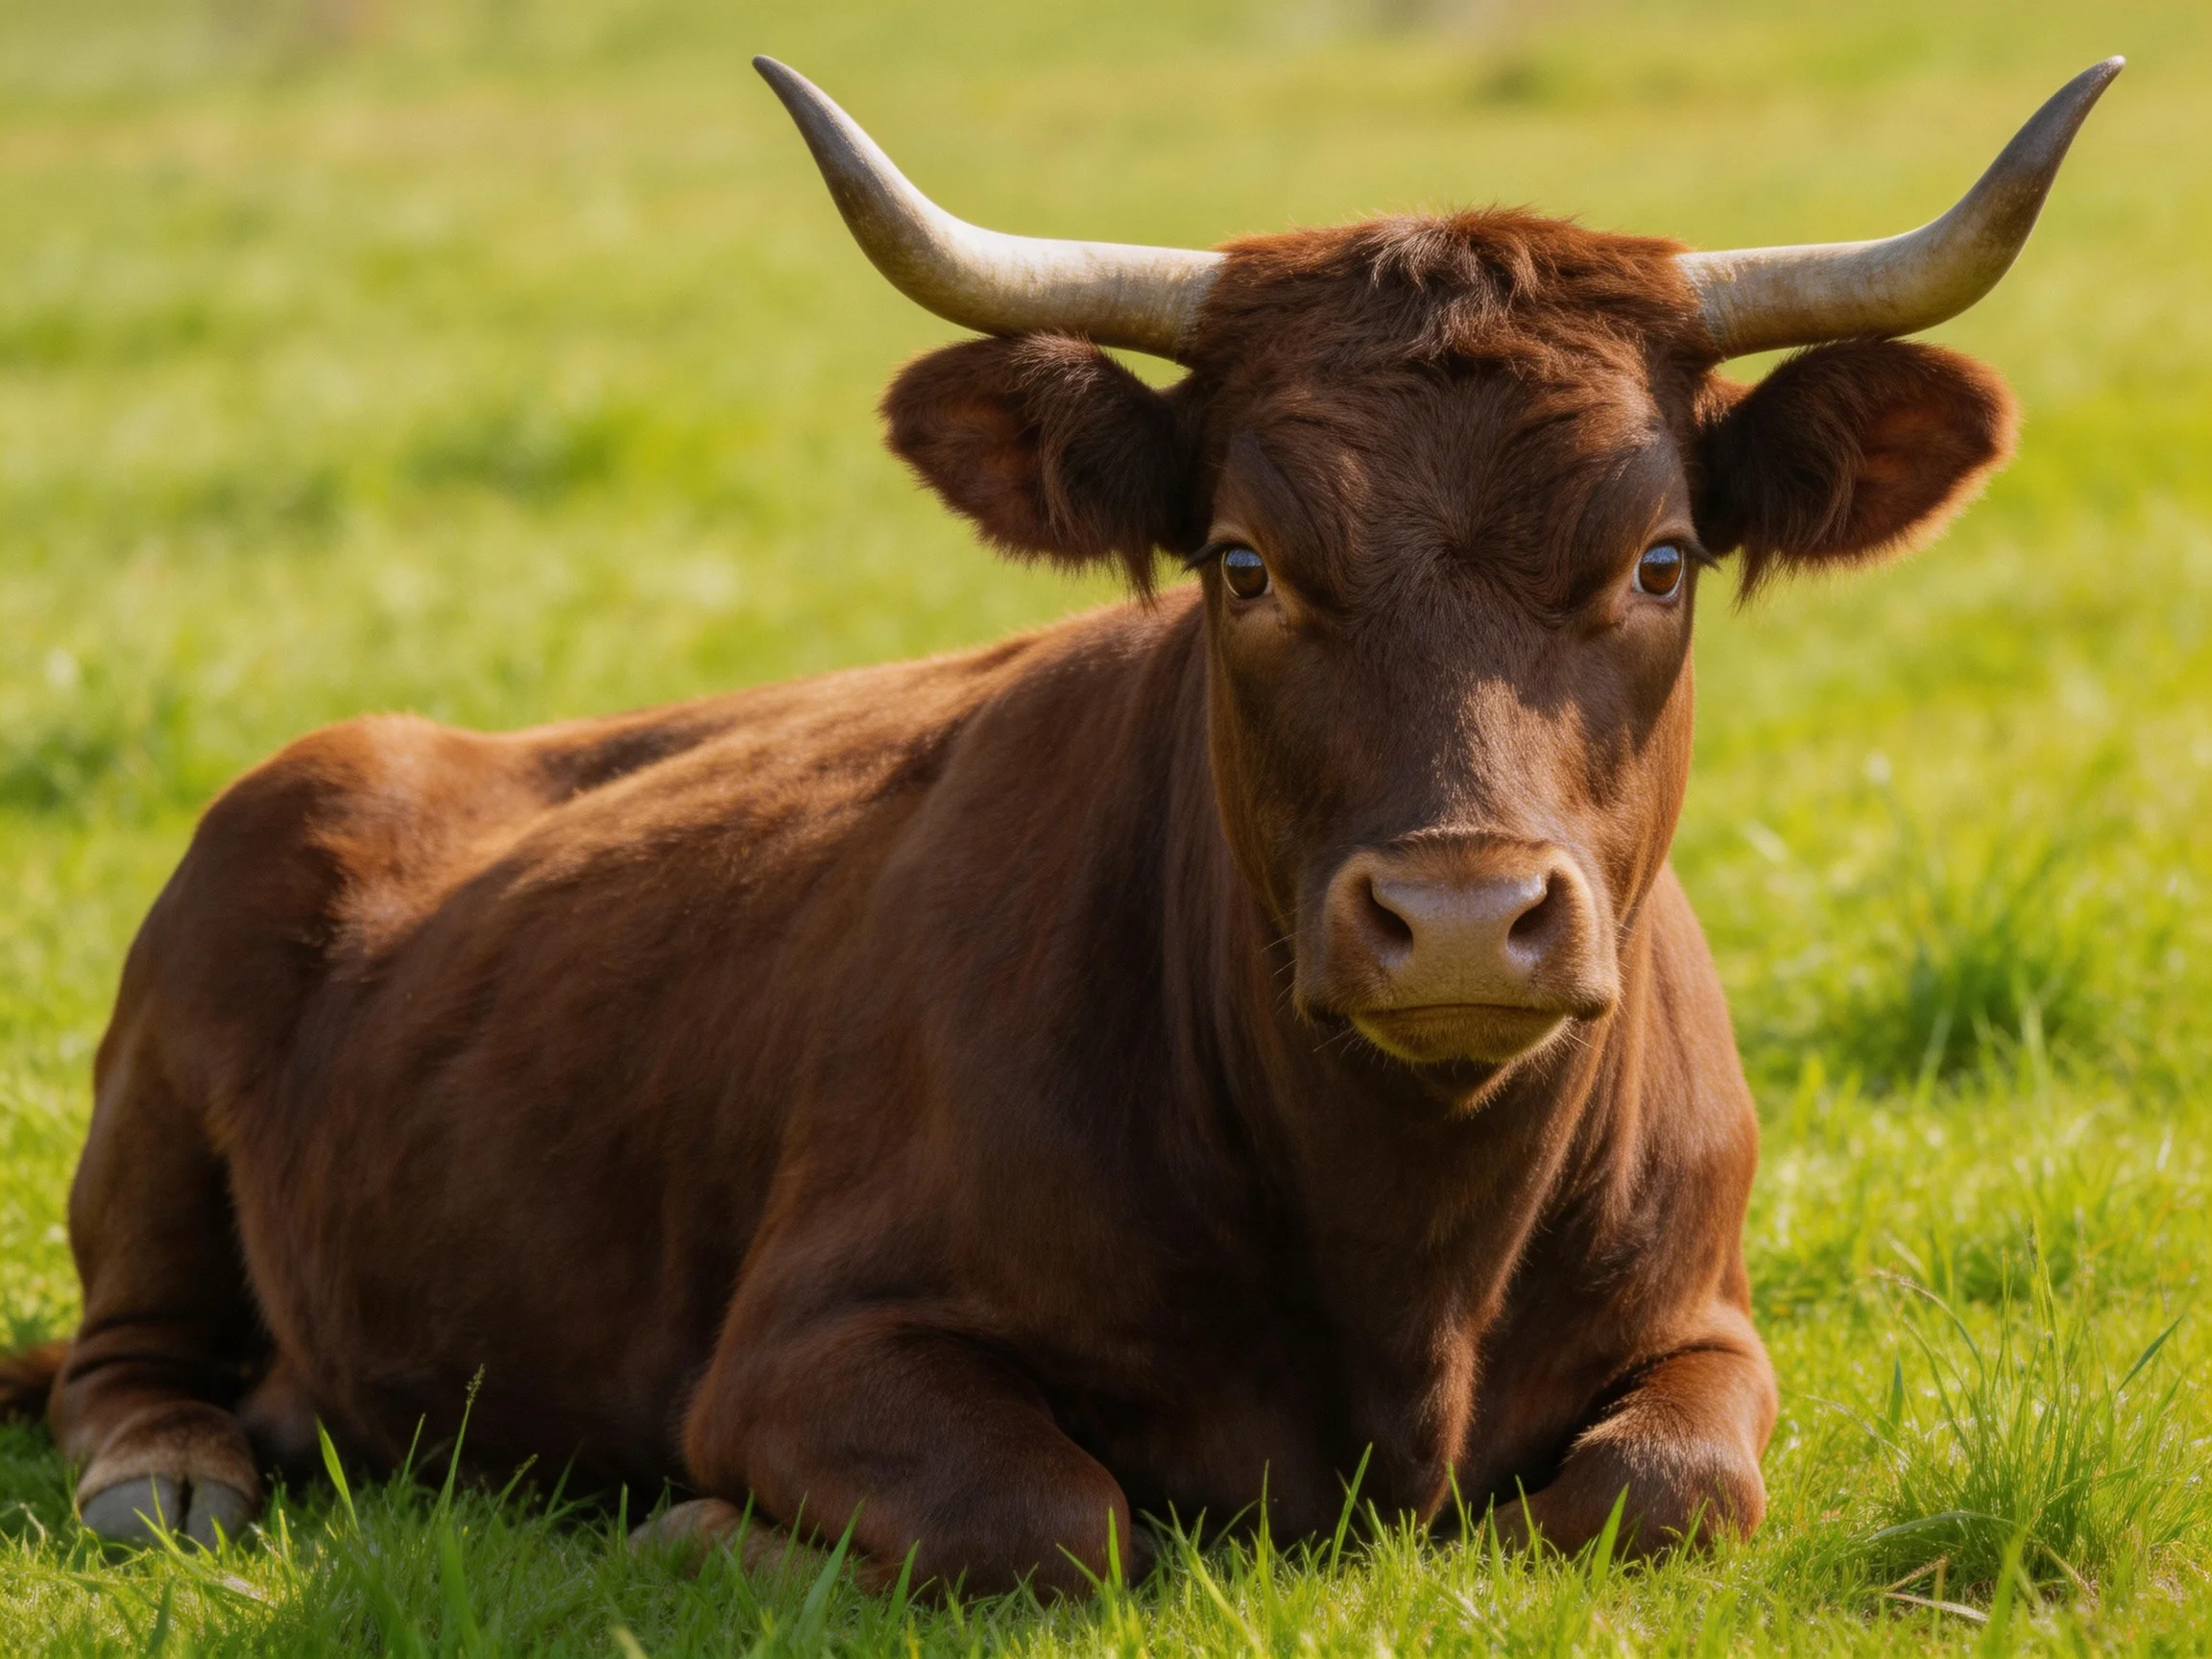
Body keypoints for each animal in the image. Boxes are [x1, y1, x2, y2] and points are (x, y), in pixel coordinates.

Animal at [0, 55, 2118, 1598]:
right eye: (1244, 562)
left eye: (1659, 558)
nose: (1455, 918)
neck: (1407, 1259)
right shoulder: (808, 1341)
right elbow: (1052, 1519)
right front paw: (698, 1529)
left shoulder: (1710, 1323)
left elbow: (1664, 1493)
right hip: (165, 1078)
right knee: (121, 1361)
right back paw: (181, 1473)